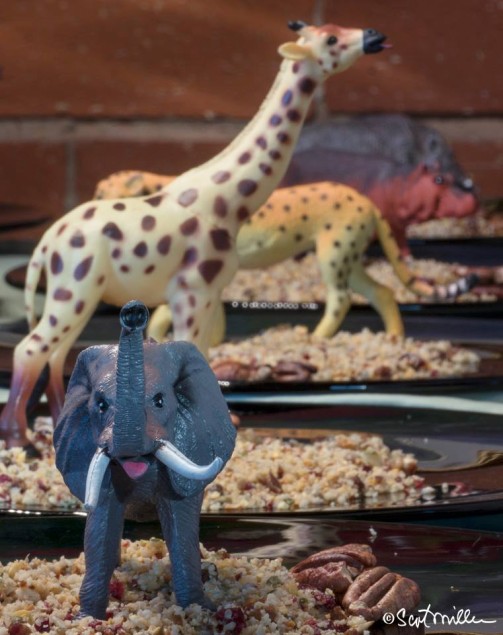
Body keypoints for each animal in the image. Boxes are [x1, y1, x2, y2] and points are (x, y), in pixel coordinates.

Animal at [54, 300, 237, 620]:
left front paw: (199, 611)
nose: (133, 312)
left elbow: (181, 527)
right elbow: (100, 529)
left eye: (160, 400)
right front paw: (87, 619)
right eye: (100, 404)